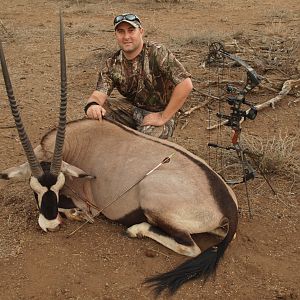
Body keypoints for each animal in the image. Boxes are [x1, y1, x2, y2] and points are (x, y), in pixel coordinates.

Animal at [0, 12, 239, 294]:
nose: (50, 225)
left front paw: (72, 215)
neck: (76, 144)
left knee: (189, 246)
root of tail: (226, 202)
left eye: (58, 186)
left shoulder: (88, 205)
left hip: (152, 199)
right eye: (33, 188)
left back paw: (135, 229)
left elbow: (75, 210)